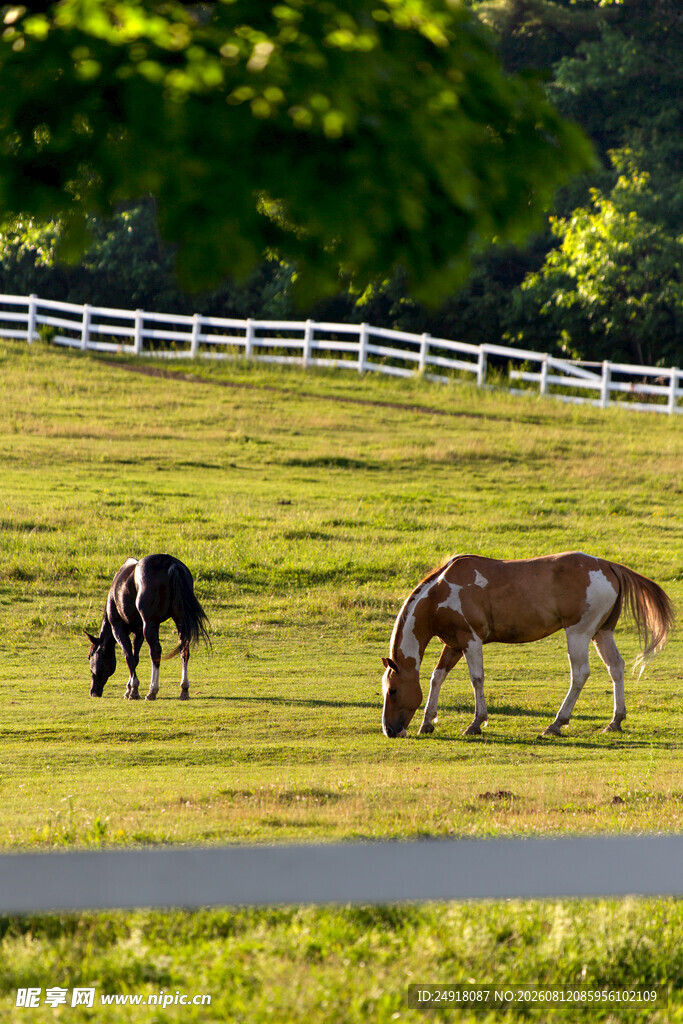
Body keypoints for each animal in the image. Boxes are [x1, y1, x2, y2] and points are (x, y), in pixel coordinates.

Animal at [85, 554, 210, 700]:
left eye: (90, 656)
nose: (93, 692)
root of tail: (172, 564)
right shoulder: (139, 632)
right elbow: (135, 658)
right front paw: (130, 688)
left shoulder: (118, 629)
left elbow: (129, 657)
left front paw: (132, 690)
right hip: (180, 621)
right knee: (184, 650)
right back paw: (184, 689)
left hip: (150, 624)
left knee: (155, 652)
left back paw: (152, 691)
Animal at [381, 551, 674, 739]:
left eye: (393, 690)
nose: (389, 730)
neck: (440, 591)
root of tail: (608, 565)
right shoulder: (453, 644)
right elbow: (436, 677)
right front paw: (427, 722)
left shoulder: (471, 640)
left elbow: (477, 679)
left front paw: (476, 722)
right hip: (602, 633)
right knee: (616, 668)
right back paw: (615, 721)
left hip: (578, 633)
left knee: (580, 674)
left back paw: (556, 723)